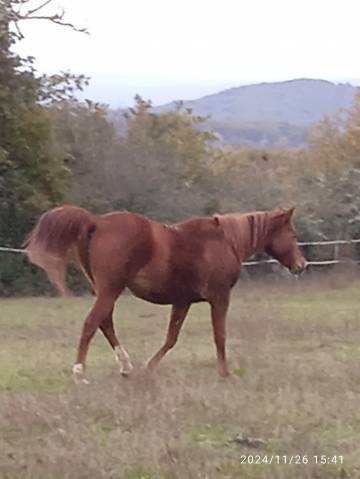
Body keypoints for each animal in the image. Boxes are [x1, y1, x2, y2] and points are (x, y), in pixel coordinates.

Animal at [25, 205, 306, 382]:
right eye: (292, 234)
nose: (301, 265)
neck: (225, 241)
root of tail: (97, 221)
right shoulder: (219, 298)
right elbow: (220, 336)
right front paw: (224, 373)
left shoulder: (182, 302)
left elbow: (171, 338)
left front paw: (149, 368)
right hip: (110, 290)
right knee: (92, 324)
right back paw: (80, 373)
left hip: (105, 290)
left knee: (105, 323)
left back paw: (126, 366)